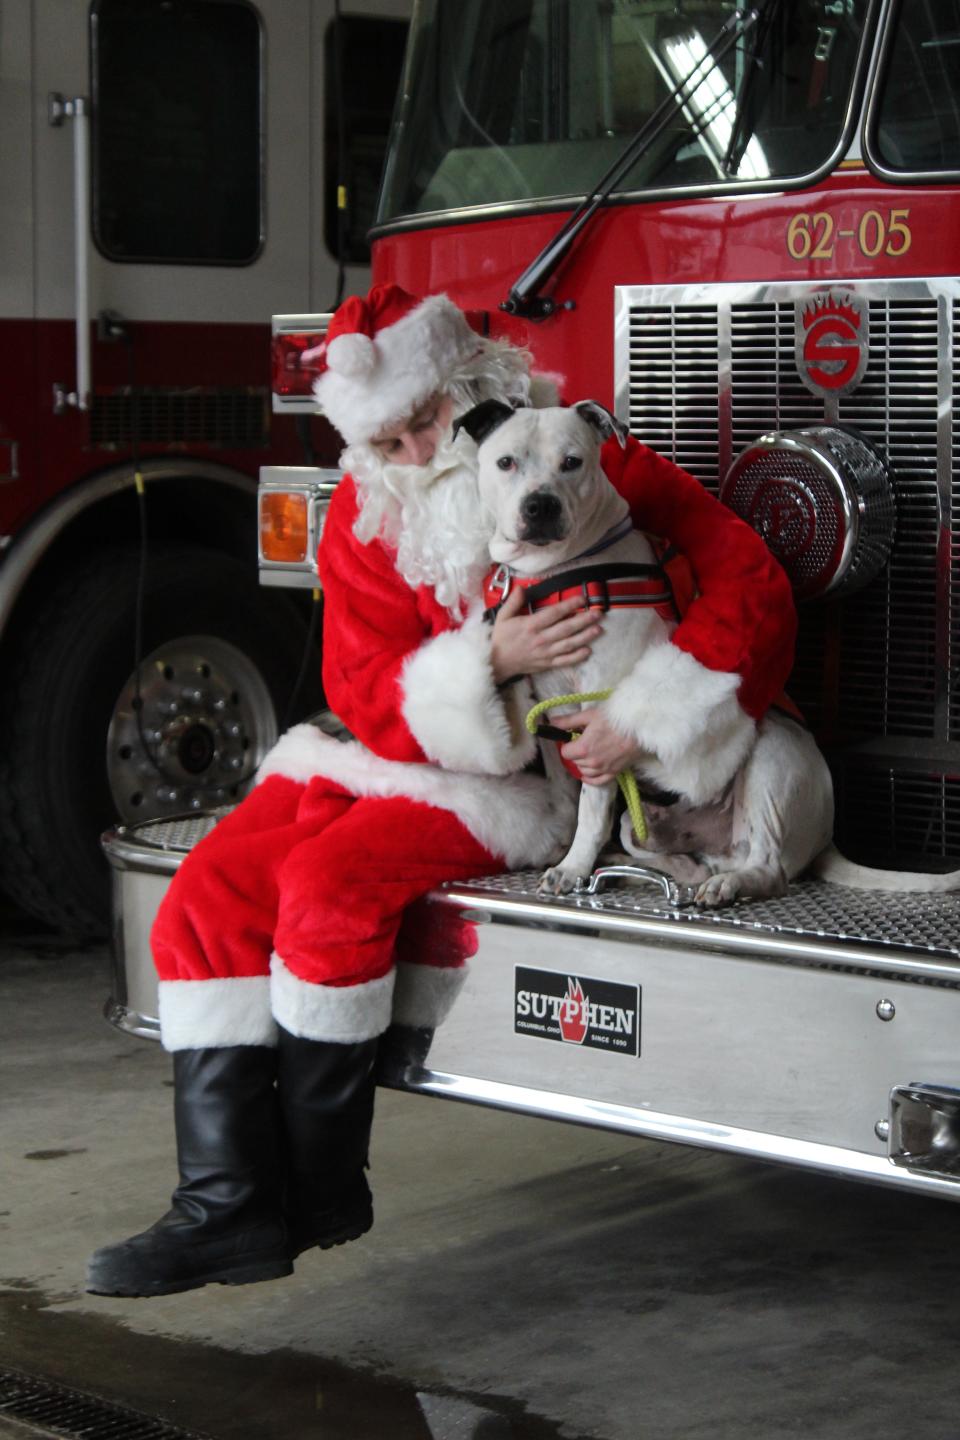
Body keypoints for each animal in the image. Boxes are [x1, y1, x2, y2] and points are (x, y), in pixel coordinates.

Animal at [457, 400, 960, 904]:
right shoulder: (549, 718)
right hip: (645, 827)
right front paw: (565, 847)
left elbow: (592, 806)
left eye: (571, 462)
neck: (561, 568)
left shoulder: (599, 721)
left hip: (771, 758)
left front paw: (574, 865)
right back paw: (644, 869)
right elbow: (566, 796)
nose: (540, 504)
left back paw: (730, 884)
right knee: (676, 855)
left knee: (770, 866)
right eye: (506, 462)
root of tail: (825, 837)